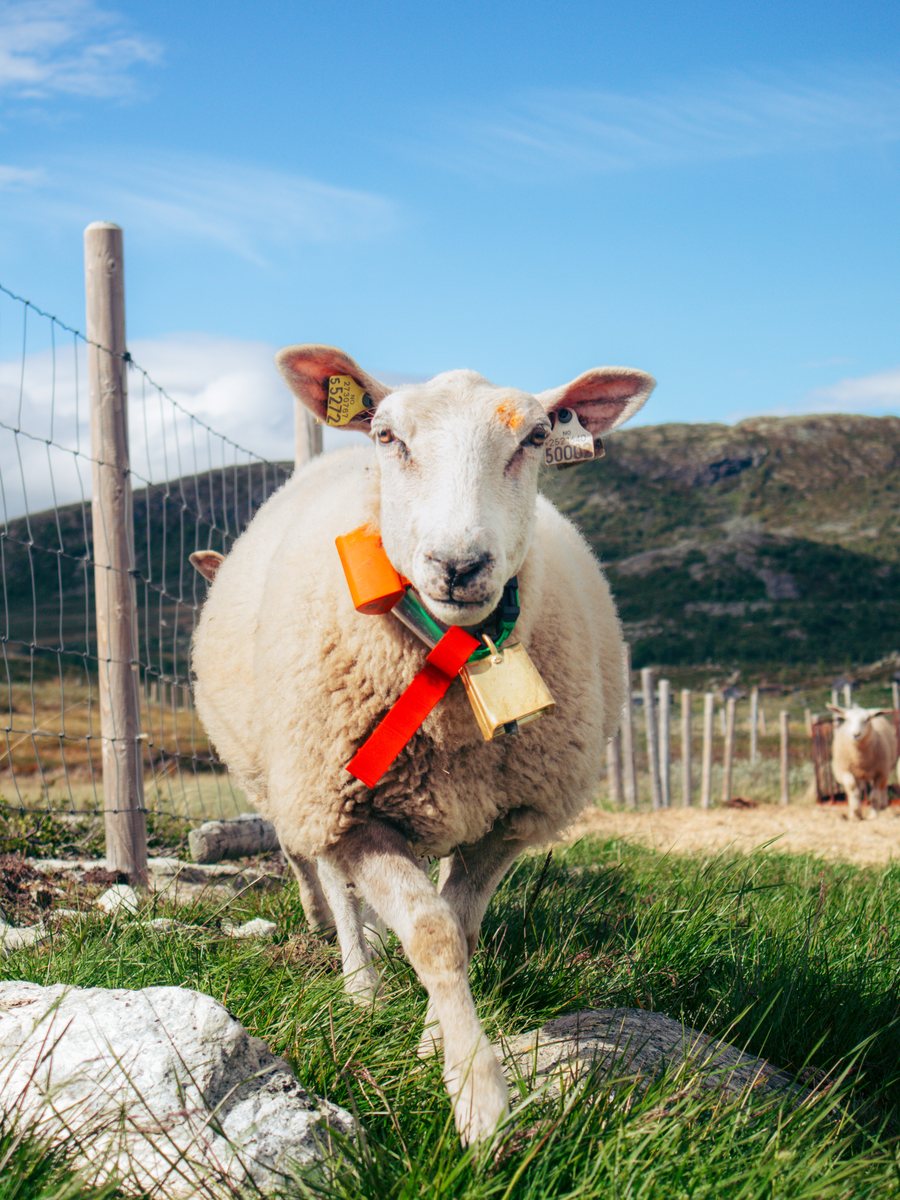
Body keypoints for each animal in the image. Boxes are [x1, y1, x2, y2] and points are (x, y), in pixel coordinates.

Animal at [191, 345, 654, 1143]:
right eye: (387, 436)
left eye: (537, 437)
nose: (460, 564)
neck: (454, 671)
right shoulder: (350, 810)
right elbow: (431, 932)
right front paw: (479, 1101)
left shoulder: (506, 822)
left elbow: (459, 930)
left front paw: (437, 1044)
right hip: (305, 787)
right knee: (333, 887)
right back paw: (362, 985)